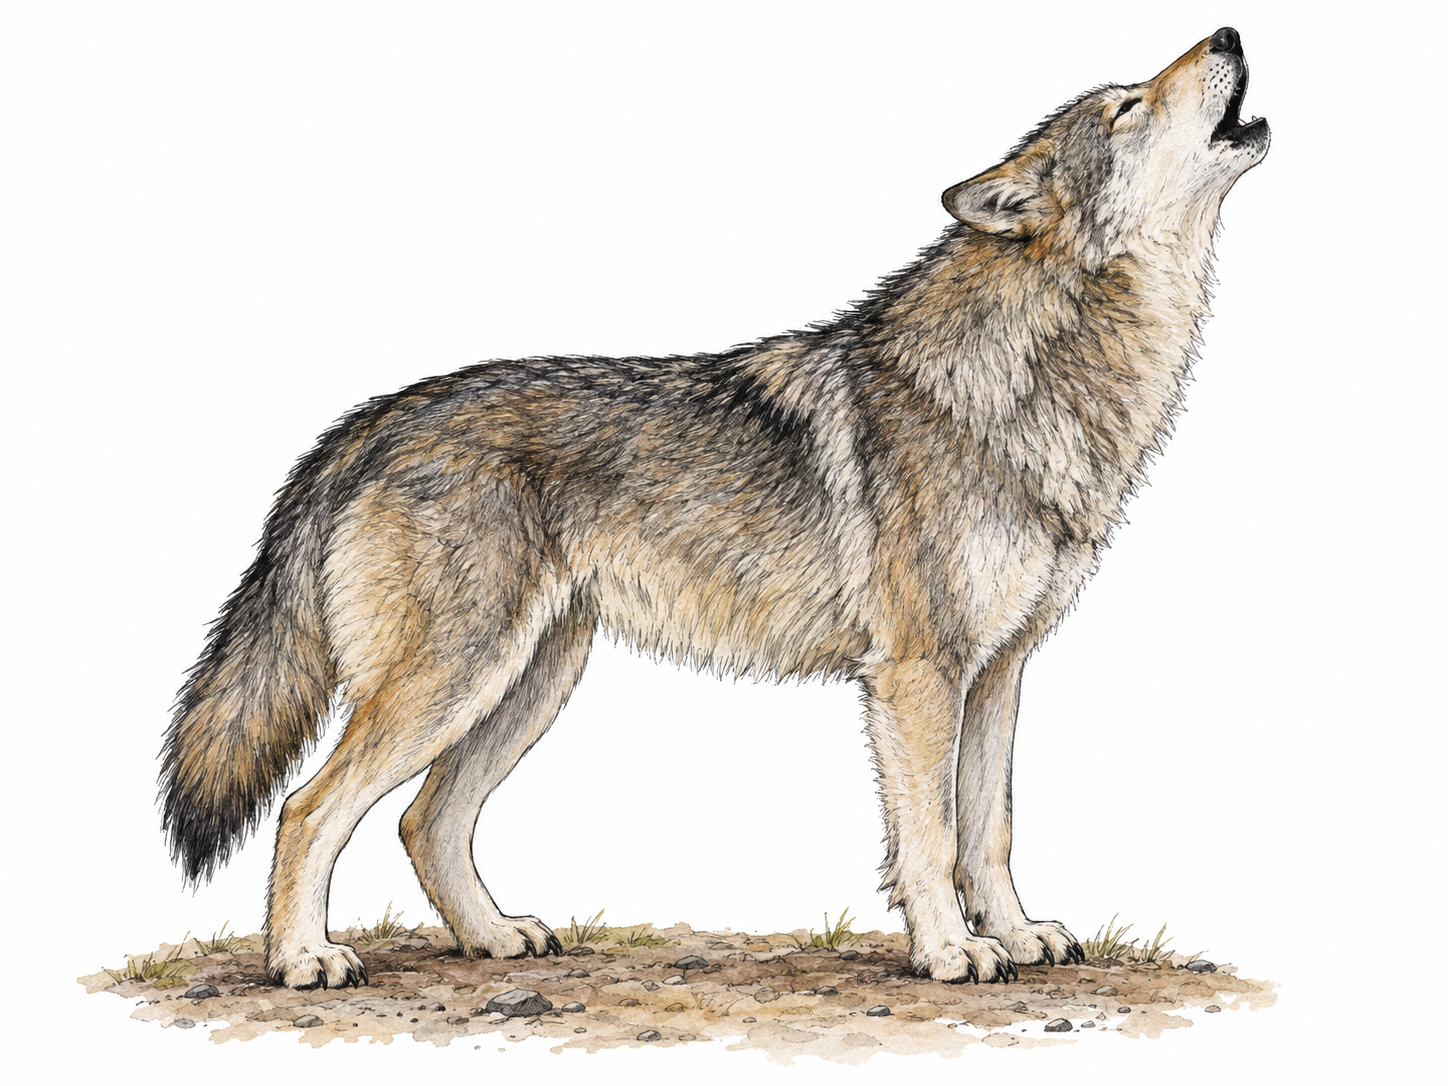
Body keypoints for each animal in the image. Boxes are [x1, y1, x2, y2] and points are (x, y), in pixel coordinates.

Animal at [160, 29, 1268, 988]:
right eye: (1126, 106)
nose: (1226, 33)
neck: (1035, 376)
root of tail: (373, 419)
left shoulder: (996, 670)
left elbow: (986, 829)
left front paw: (1018, 934)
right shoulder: (917, 675)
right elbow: (930, 837)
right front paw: (950, 952)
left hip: (526, 682)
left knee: (423, 822)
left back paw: (494, 937)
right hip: (453, 682)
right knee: (309, 809)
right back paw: (303, 961)